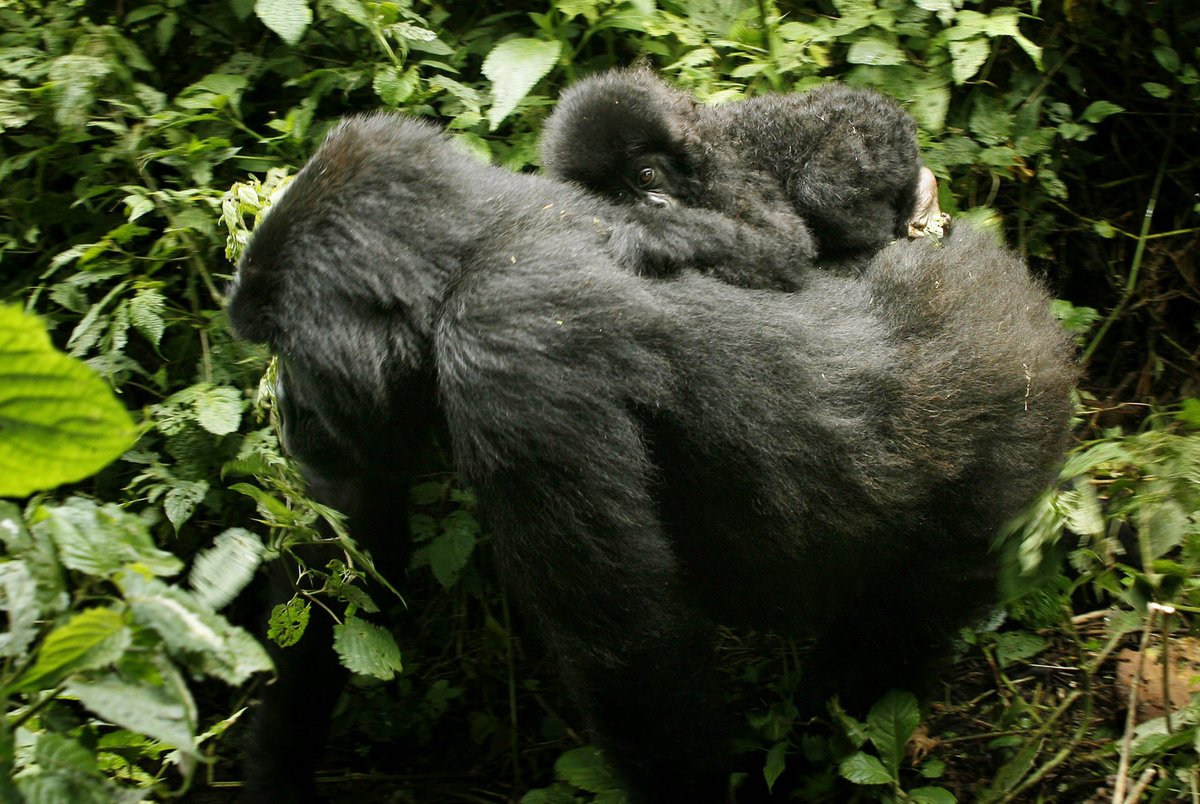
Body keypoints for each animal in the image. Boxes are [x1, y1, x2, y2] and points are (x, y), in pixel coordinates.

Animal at [226, 115, 1080, 804]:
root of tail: (1022, 294)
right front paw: (271, 769)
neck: (477, 241)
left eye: (285, 347)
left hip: (1008, 427)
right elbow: (343, 542)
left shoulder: (512, 343)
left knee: (885, 645)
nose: (290, 415)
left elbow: (631, 654)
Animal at [544, 69, 945, 277]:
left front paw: (654, 234)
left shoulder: (724, 169)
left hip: (875, 130)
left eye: (646, 176)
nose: (652, 207)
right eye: (618, 196)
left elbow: (784, 243)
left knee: (821, 190)